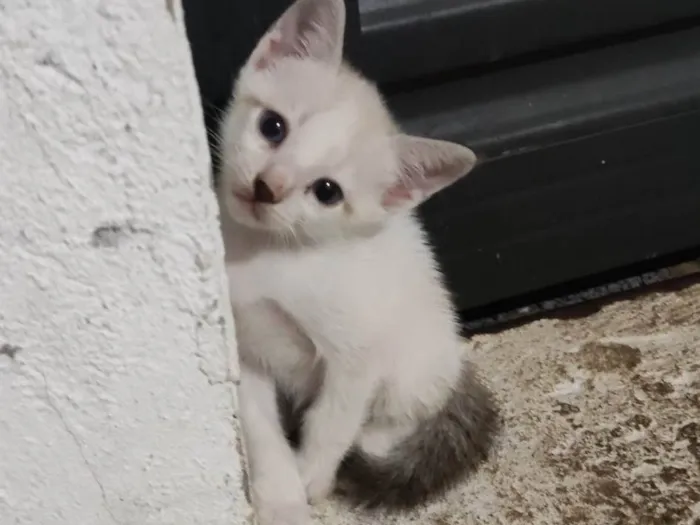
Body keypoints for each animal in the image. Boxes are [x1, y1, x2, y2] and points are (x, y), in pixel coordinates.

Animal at [217, 0, 498, 520]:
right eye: (273, 126)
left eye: (327, 191)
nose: (269, 187)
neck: (265, 256)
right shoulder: (244, 348)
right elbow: (260, 427)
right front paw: (279, 497)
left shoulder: (356, 356)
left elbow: (332, 420)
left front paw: (310, 477)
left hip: (414, 360)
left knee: (398, 414)